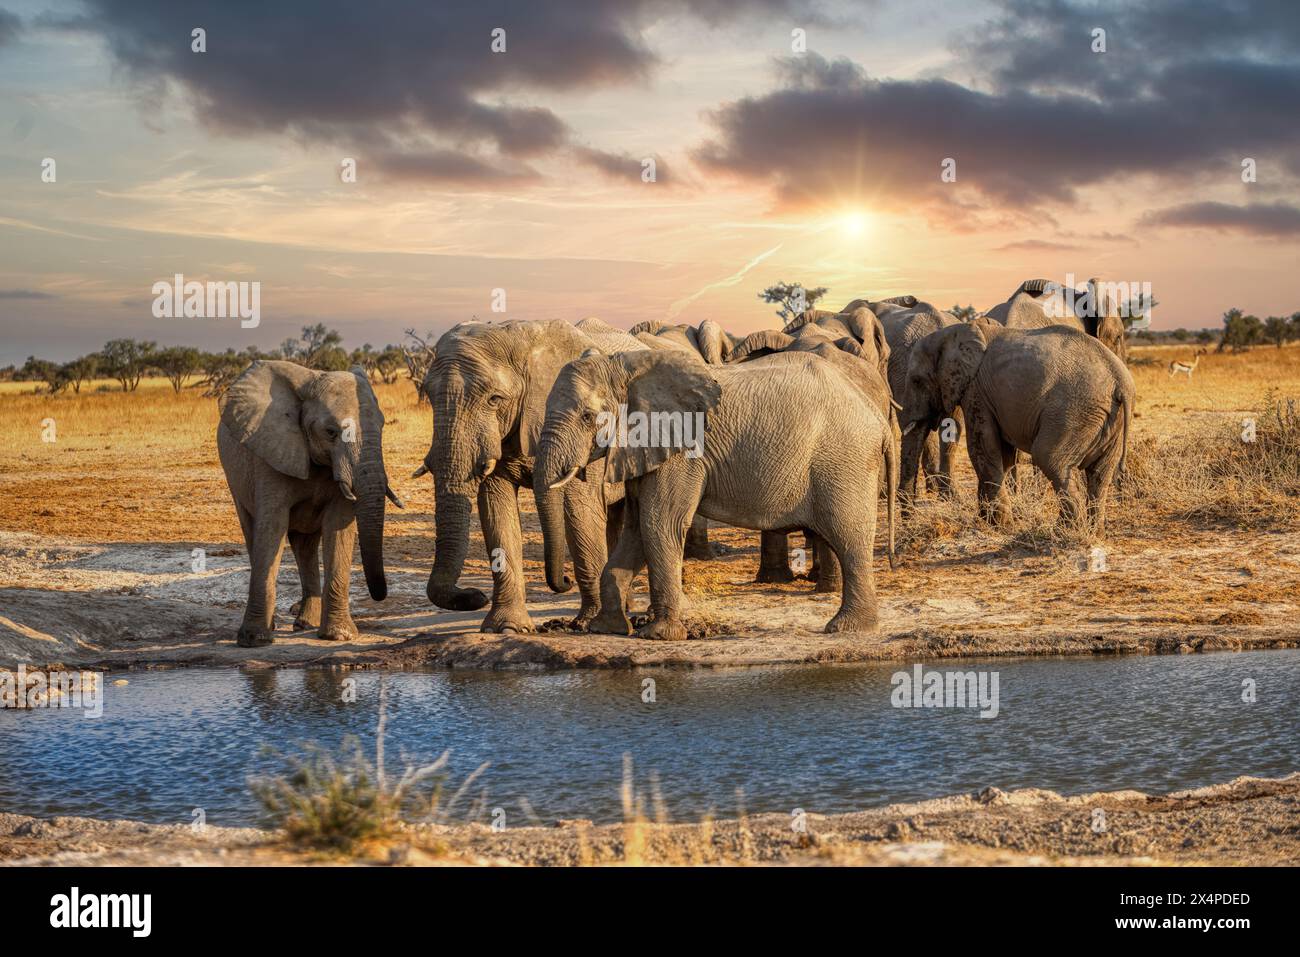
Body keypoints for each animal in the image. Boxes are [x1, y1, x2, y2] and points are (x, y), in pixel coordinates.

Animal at [217, 360, 397, 647]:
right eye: (331, 432)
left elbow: (339, 526)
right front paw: (254, 640)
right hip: (234, 476)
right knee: (253, 531)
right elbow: (272, 527)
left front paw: (338, 636)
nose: (380, 595)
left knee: (305, 547)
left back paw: (306, 623)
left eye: (381, 427)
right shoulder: (270, 453)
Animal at [419, 318, 642, 633]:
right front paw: (506, 628)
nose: (475, 595)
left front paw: (588, 624)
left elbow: (579, 512)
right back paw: (628, 606)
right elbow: (496, 510)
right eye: (427, 394)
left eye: (494, 399)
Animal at [536, 349, 896, 639]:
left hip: (844, 462)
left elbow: (659, 523)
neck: (626, 368)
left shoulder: (682, 452)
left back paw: (848, 629)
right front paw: (607, 629)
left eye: (587, 417)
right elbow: (636, 529)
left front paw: (659, 636)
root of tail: (878, 417)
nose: (564, 580)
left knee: (848, 537)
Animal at [899, 320, 1134, 535]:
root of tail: (1120, 381)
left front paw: (1001, 526)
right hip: (1110, 420)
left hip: (1075, 412)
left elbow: (982, 447)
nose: (909, 522)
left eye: (917, 381)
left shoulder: (976, 390)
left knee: (1050, 458)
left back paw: (1066, 531)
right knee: (1100, 475)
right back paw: (1093, 533)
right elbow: (1003, 456)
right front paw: (988, 521)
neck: (952, 332)